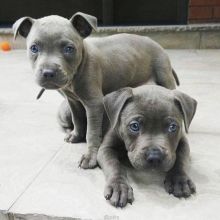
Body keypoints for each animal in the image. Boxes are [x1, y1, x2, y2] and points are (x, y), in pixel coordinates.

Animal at [12, 12, 179, 169]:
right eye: (34, 48)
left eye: (69, 49)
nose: (48, 72)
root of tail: (158, 45)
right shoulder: (73, 101)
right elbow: (77, 120)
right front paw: (76, 135)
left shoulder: (94, 104)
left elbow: (91, 133)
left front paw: (90, 157)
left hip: (164, 76)